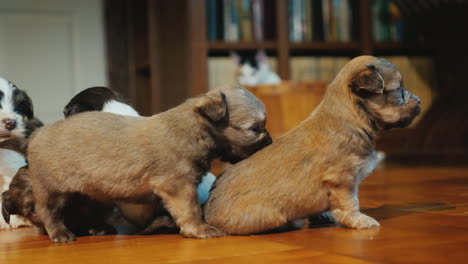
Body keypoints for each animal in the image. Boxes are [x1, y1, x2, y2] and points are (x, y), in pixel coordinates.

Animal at [26, 85, 270, 242]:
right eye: (254, 129)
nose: (270, 142)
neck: (195, 127)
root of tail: (38, 133)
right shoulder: (178, 185)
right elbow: (190, 209)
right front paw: (198, 229)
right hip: (53, 190)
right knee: (48, 211)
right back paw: (60, 233)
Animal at [205, 56, 420, 235]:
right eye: (400, 92)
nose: (419, 100)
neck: (352, 118)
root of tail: (208, 215)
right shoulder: (342, 179)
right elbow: (350, 203)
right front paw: (359, 220)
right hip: (270, 215)